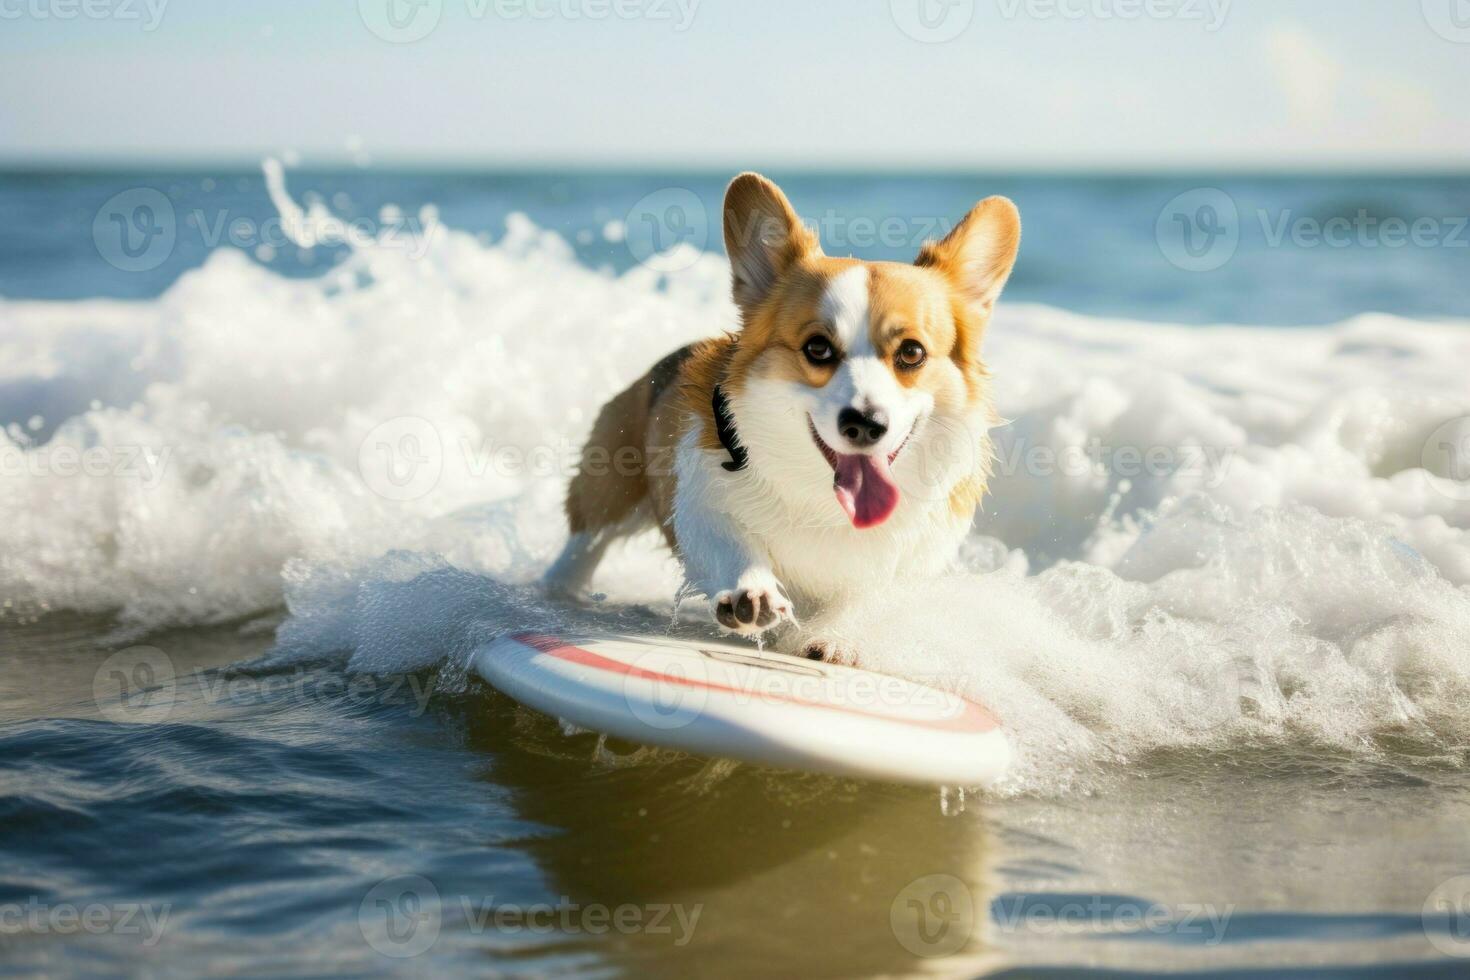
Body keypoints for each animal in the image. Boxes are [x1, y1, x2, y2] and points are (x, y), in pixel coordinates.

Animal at [546, 174, 1017, 658]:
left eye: (912, 352)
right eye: (817, 348)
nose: (864, 425)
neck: (825, 499)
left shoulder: (912, 560)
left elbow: (867, 596)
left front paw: (834, 636)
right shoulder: (700, 501)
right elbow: (731, 542)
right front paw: (751, 590)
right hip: (607, 490)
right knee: (583, 542)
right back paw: (558, 590)